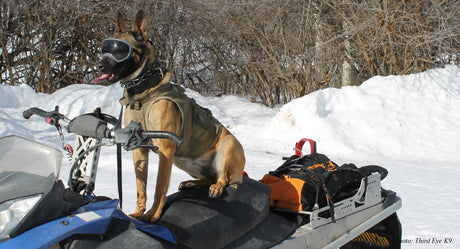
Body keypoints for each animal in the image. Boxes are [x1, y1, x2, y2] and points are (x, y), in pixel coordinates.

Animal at [94, 10, 248, 223]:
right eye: (105, 47)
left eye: (120, 50)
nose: (100, 65)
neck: (144, 91)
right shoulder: (139, 149)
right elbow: (141, 187)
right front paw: (137, 213)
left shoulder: (166, 148)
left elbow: (159, 187)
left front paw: (152, 215)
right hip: (181, 159)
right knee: (207, 178)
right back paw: (192, 183)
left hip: (227, 145)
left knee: (222, 178)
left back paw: (216, 186)